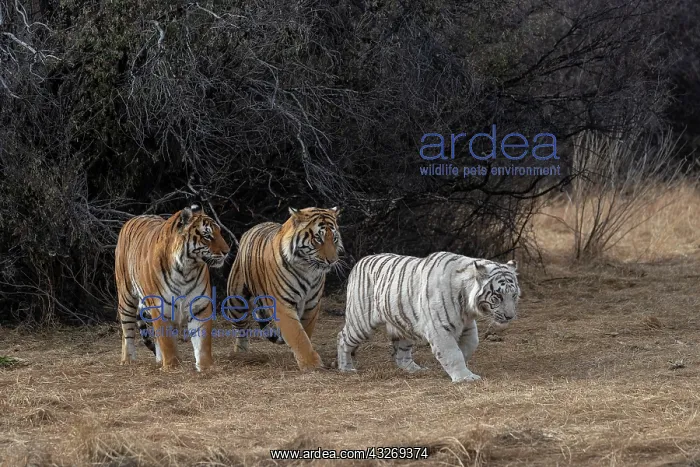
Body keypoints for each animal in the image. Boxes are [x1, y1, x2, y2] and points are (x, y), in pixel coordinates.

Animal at [114, 204, 230, 371]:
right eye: (207, 236)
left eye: (219, 232)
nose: (227, 252)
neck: (186, 269)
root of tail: (136, 217)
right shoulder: (159, 306)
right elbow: (167, 340)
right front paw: (171, 366)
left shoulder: (199, 305)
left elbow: (202, 340)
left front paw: (206, 366)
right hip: (126, 296)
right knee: (127, 330)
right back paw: (128, 359)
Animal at [225, 207, 344, 371]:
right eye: (318, 239)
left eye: (335, 238)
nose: (332, 261)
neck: (308, 269)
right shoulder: (282, 304)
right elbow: (297, 334)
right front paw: (311, 364)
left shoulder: (312, 304)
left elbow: (305, 331)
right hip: (236, 300)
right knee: (241, 329)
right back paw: (241, 354)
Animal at [336, 252, 519, 382]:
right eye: (498, 296)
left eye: (514, 295)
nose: (510, 316)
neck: (467, 305)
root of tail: (360, 261)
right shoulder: (439, 328)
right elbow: (453, 353)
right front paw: (465, 377)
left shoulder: (467, 324)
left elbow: (470, 344)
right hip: (361, 321)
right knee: (342, 338)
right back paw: (346, 368)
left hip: (405, 324)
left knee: (402, 354)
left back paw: (414, 369)